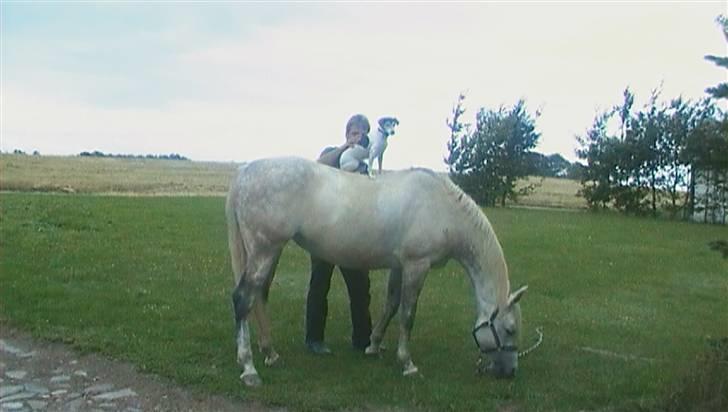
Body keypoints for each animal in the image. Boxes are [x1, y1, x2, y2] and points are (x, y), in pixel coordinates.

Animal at [225, 156, 528, 387]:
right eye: (510, 329)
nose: (510, 371)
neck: (443, 209)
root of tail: (243, 174)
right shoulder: (417, 265)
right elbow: (407, 315)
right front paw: (407, 364)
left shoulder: (399, 266)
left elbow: (391, 305)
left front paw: (373, 345)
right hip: (265, 250)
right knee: (243, 299)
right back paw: (249, 368)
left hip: (269, 252)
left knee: (259, 297)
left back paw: (270, 353)